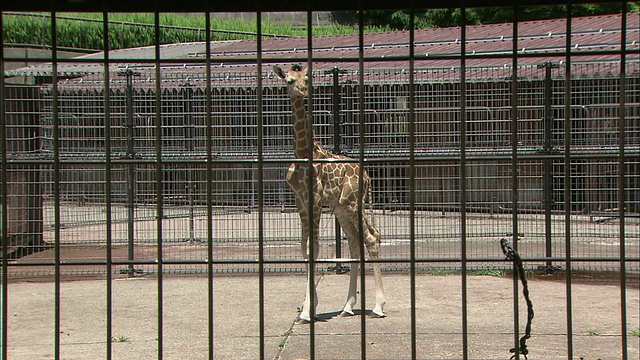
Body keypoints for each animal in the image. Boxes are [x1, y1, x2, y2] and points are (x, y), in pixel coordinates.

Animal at [272, 63, 384, 324]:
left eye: (307, 79)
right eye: (289, 80)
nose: (303, 91)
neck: (303, 151)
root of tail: (367, 176)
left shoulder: (314, 199)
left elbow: (313, 247)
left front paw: (306, 311)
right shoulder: (300, 201)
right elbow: (304, 247)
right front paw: (309, 307)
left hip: (353, 203)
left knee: (371, 237)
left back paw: (377, 307)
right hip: (340, 207)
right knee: (354, 242)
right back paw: (347, 307)